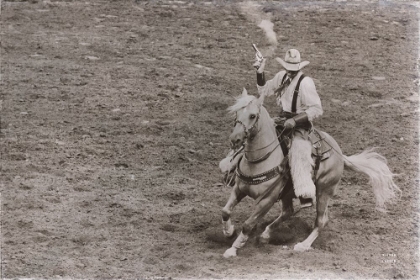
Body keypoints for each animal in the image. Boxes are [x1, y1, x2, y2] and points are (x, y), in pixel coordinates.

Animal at [220, 89, 400, 258]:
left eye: (252, 115)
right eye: (236, 113)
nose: (235, 139)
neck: (259, 160)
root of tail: (339, 154)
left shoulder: (266, 200)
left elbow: (248, 224)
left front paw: (233, 249)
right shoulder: (239, 189)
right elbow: (225, 211)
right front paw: (229, 231)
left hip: (323, 191)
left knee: (321, 220)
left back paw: (303, 245)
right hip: (288, 193)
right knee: (288, 212)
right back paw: (266, 234)